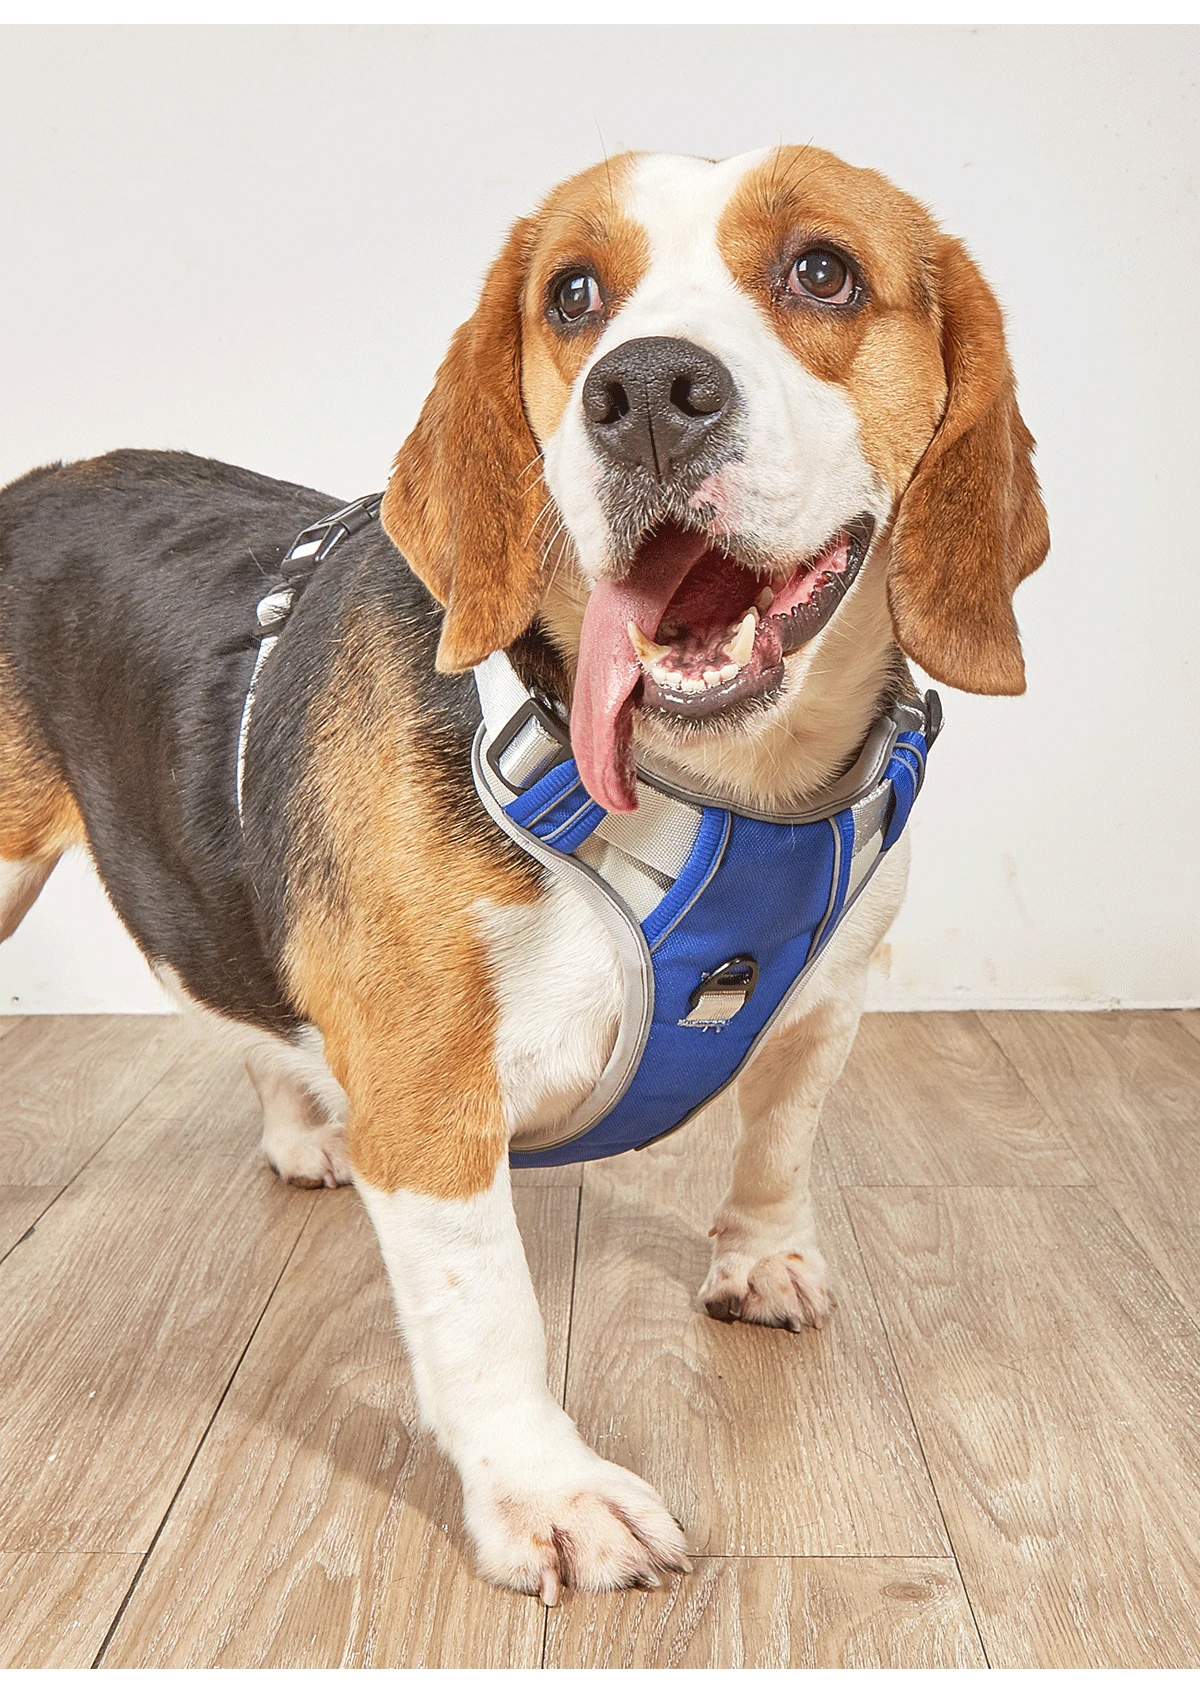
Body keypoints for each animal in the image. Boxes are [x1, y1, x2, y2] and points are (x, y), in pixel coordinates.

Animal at [0, 145, 1047, 1603]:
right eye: (573, 296)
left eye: (823, 271)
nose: (646, 392)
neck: (726, 790)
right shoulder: (432, 1092)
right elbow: (487, 1309)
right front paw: (548, 1491)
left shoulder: (834, 994)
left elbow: (780, 1137)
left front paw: (762, 1258)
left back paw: (301, 1125)